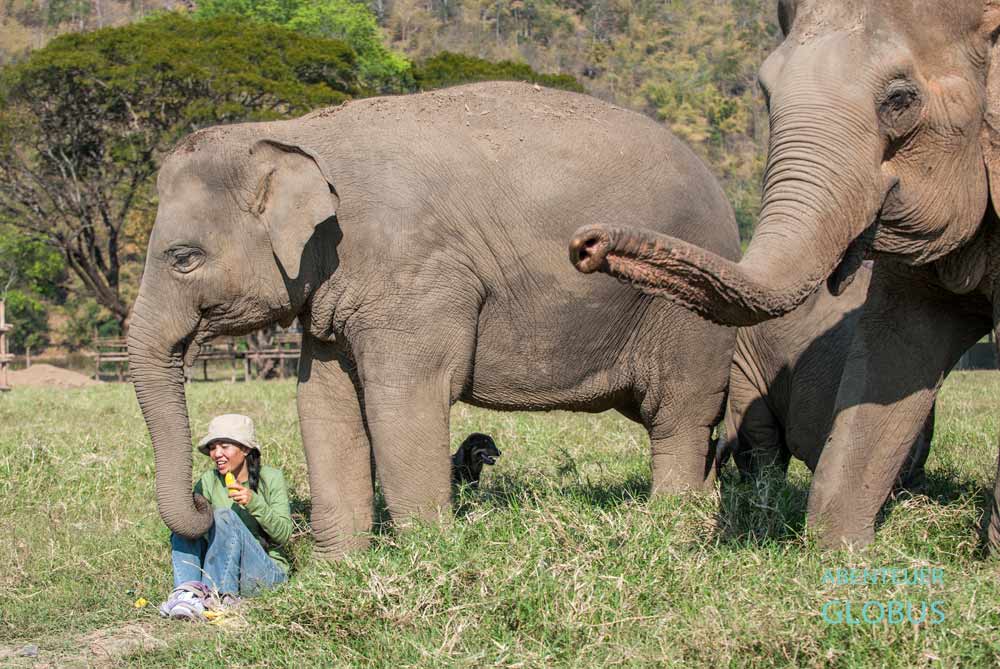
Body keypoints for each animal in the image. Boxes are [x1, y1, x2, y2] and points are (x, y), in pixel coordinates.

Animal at [128, 81, 741, 558]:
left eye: (183, 258)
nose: (207, 501)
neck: (295, 132)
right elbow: (323, 403)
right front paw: (335, 570)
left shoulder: (415, 273)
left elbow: (401, 401)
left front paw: (426, 558)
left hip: (689, 309)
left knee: (679, 416)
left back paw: (670, 531)